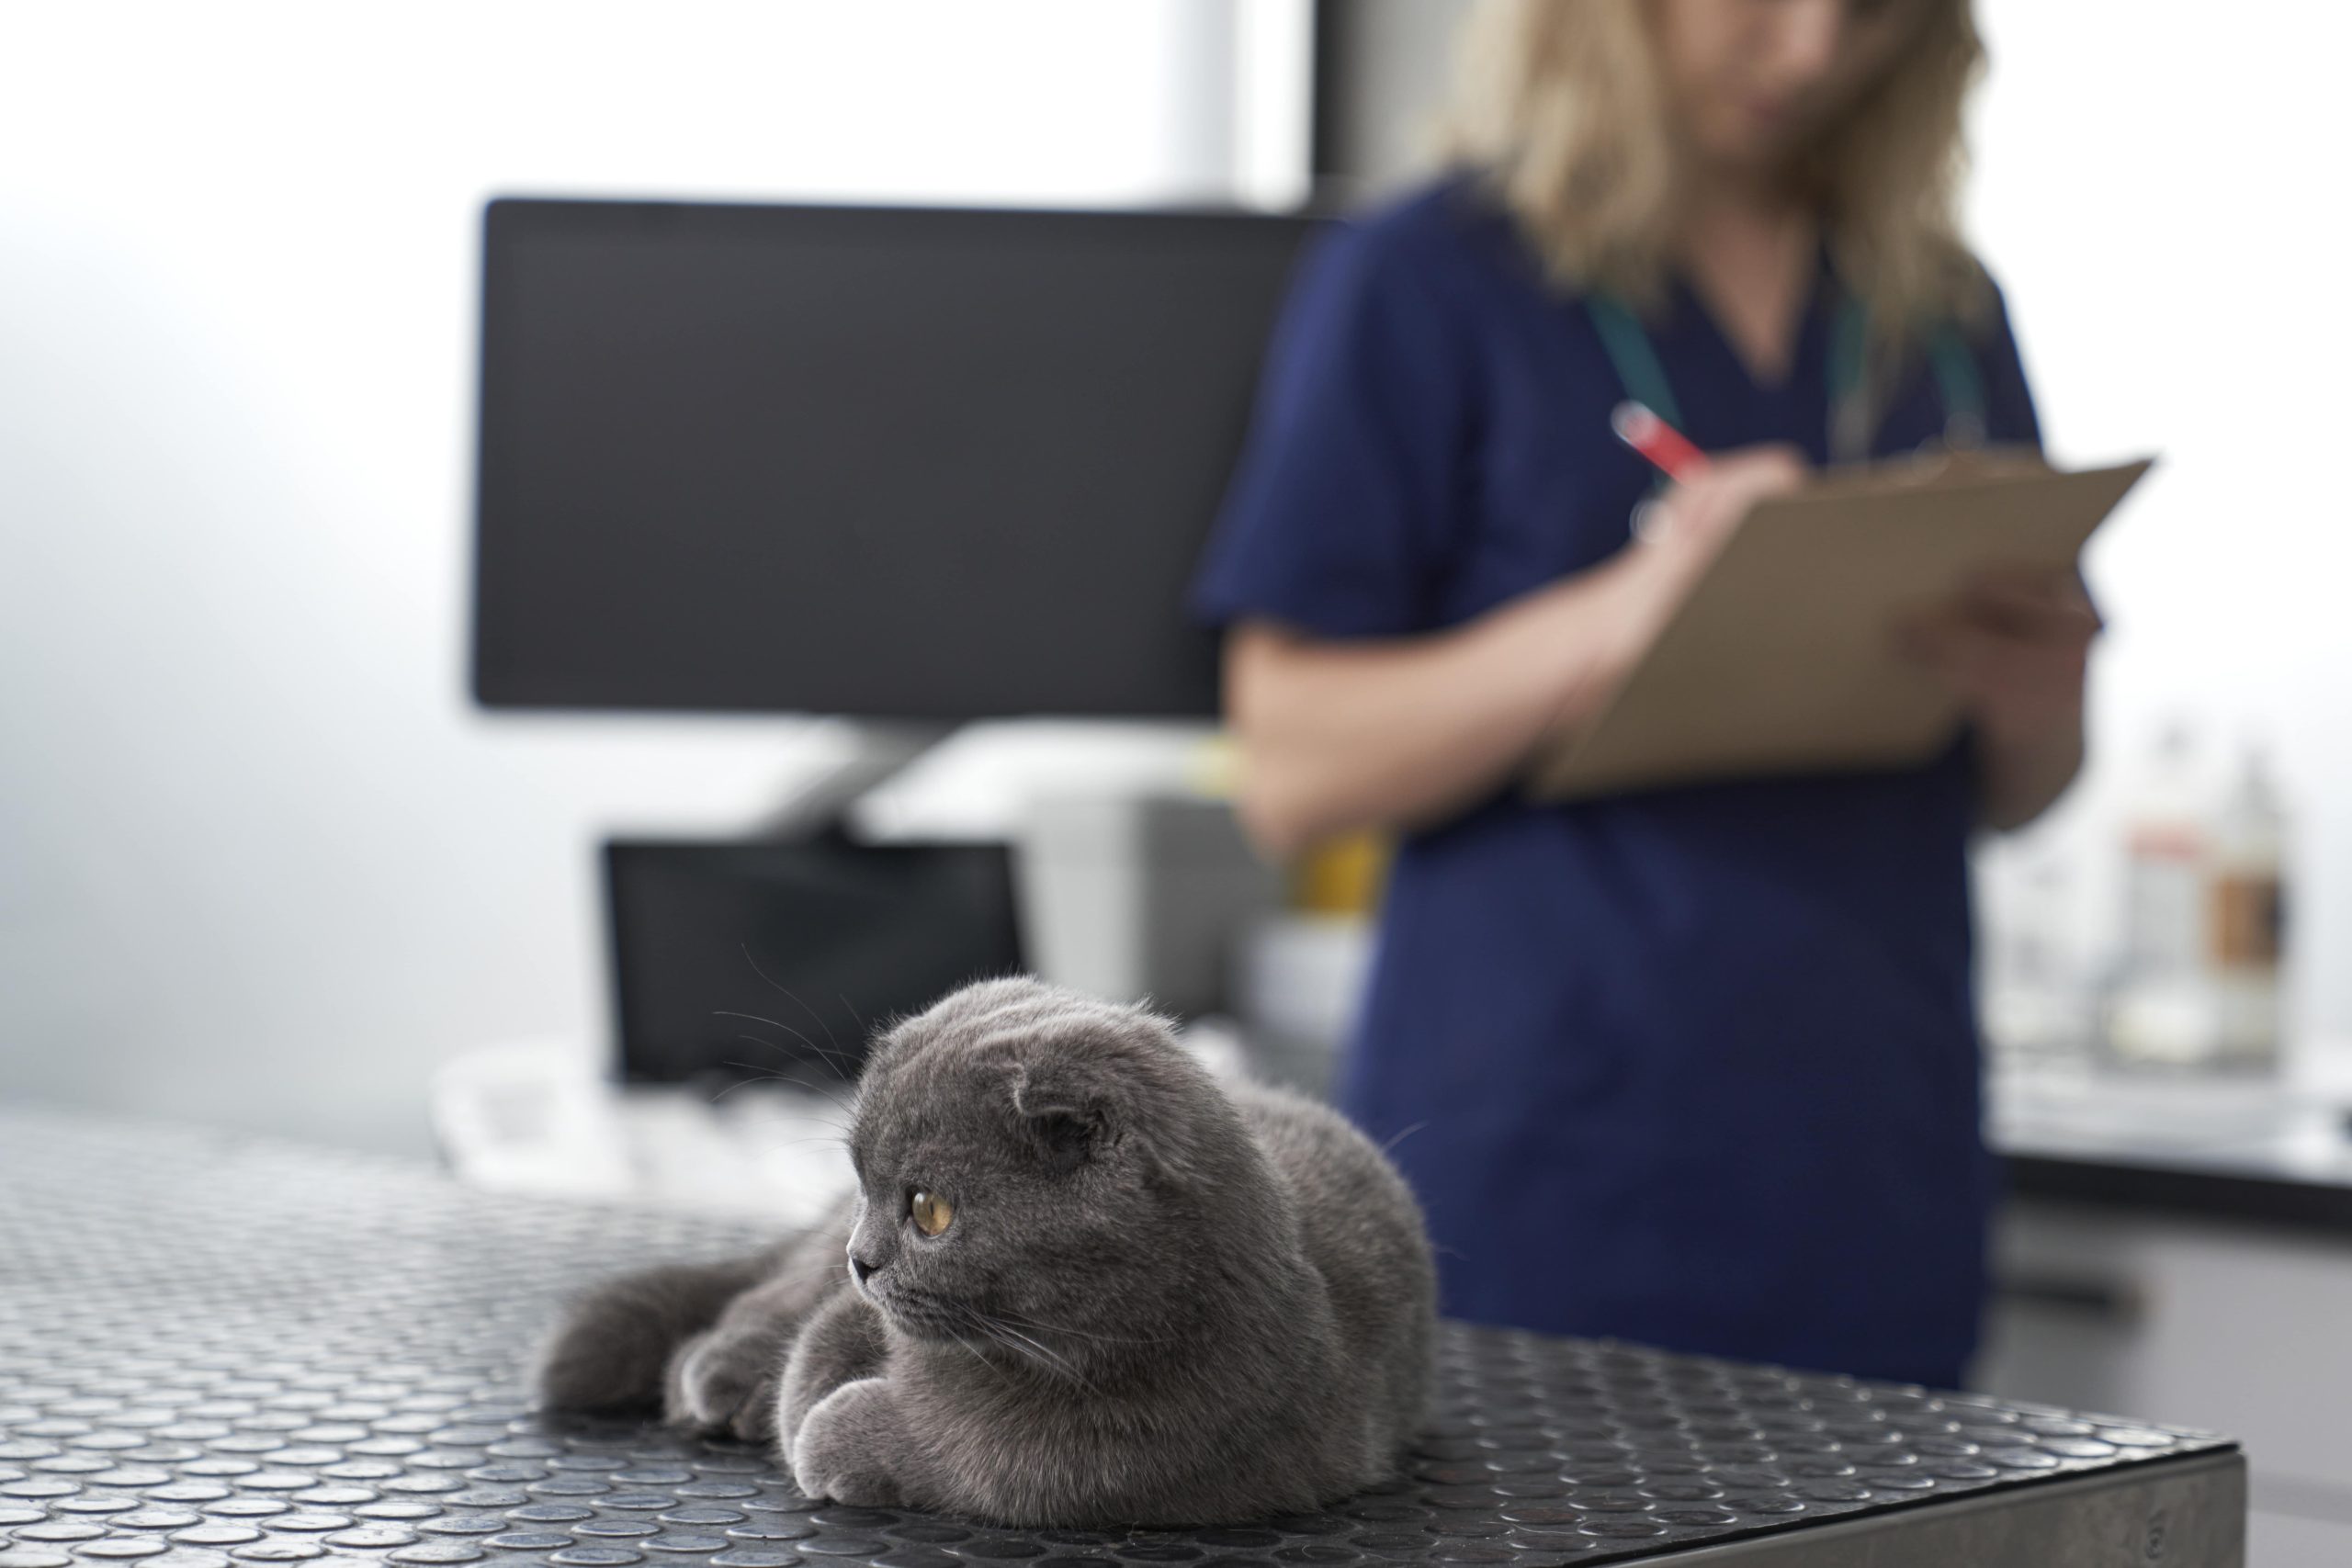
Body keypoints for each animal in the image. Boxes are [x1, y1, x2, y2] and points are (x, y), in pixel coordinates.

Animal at [538, 973, 1430, 1523]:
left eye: (929, 1212)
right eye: (864, 1182)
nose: (862, 1258)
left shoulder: (1100, 1469)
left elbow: (956, 1455)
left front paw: (828, 1429)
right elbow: (821, 1342)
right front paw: (798, 1397)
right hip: (803, 1262)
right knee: (766, 1295)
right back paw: (722, 1376)